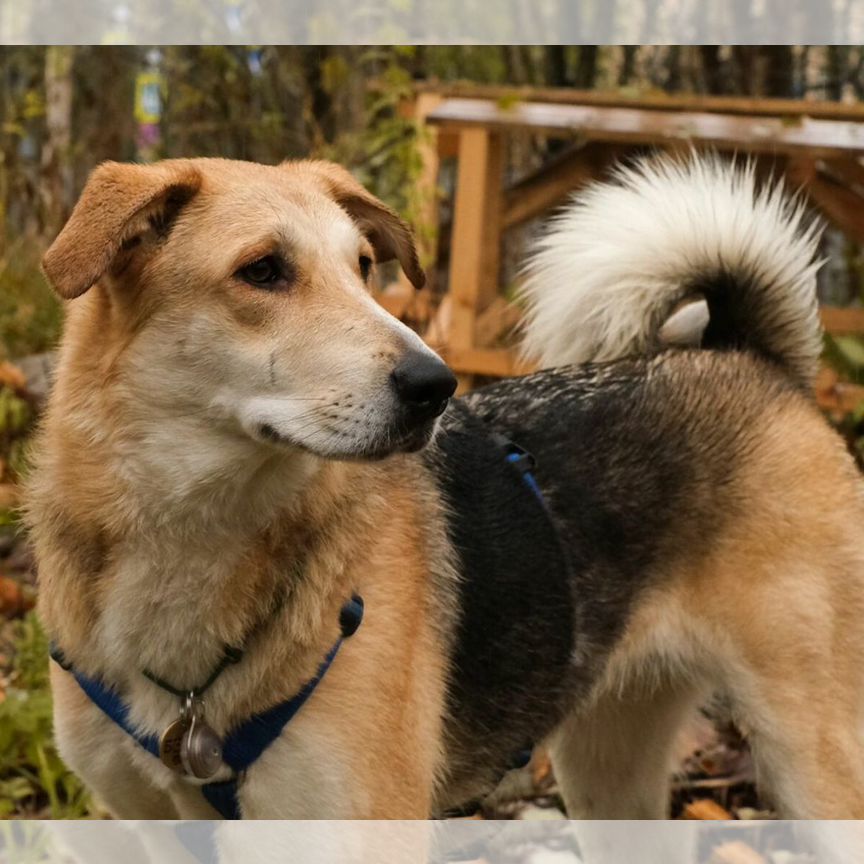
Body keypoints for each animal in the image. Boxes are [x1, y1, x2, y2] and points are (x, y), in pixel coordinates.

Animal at [27, 152, 864, 820]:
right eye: (262, 270)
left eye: (364, 267)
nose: (436, 385)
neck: (190, 539)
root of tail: (749, 357)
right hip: (606, 770)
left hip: (816, 759)